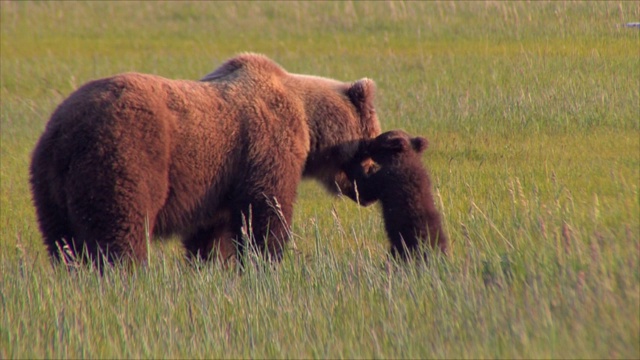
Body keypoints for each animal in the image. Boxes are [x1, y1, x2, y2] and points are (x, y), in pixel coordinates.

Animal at [30, 53, 380, 268]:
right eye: (375, 141)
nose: (371, 188)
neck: (308, 123)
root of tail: (62, 132)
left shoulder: (217, 184)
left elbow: (211, 234)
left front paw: (210, 265)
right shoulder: (265, 148)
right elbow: (266, 211)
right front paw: (268, 259)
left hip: (49, 185)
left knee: (62, 242)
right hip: (125, 156)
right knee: (119, 232)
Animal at [344, 131, 450, 260]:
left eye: (376, 140)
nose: (365, 144)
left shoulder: (387, 178)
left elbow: (365, 189)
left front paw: (352, 163)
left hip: (405, 244)